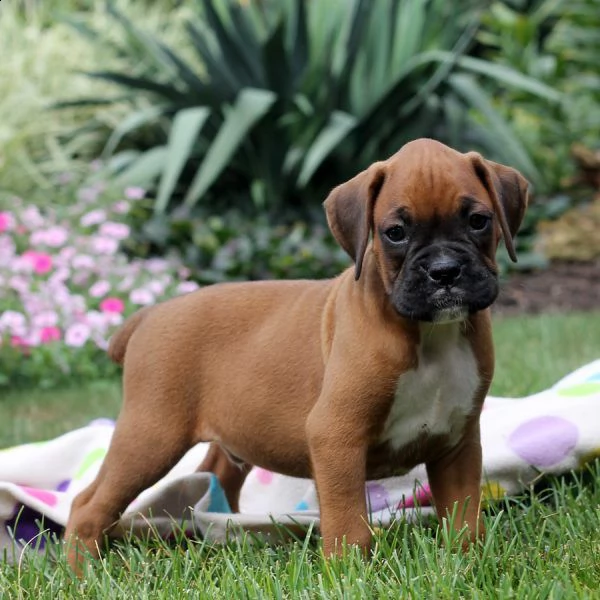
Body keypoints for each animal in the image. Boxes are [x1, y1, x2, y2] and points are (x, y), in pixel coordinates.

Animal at [63, 139, 528, 572]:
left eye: (478, 221)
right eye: (395, 232)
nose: (444, 271)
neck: (429, 333)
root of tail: (151, 313)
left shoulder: (457, 443)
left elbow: (464, 514)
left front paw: (469, 562)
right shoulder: (336, 435)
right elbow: (348, 520)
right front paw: (347, 573)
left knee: (217, 481)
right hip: (151, 437)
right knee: (88, 504)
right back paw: (83, 571)